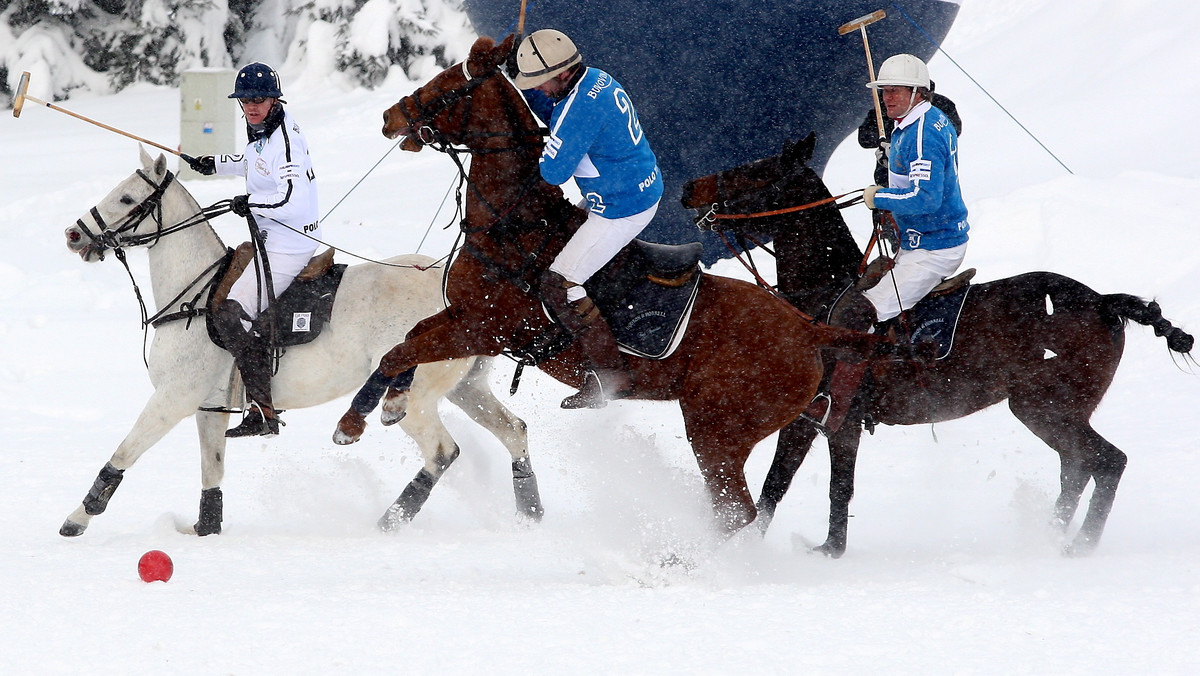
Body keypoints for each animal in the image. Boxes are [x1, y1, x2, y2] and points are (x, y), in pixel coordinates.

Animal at [59, 149, 540, 540]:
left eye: (126, 198)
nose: (73, 235)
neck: (193, 295)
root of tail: (468, 299)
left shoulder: (174, 397)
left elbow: (124, 453)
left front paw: (77, 519)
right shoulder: (209, 405)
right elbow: (212, 469)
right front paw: (205, 529)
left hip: (416, 395)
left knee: (442, 451)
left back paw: (389, 521)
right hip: (466, 386)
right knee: (513, 430)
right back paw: (530, 514)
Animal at [681, 132, 1195, 554]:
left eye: (751, 171)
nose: (689, 188)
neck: (822, 294)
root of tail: (1104, 301)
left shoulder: (834, 416)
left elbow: (818, 487)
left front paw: (812, 552)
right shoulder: (817, 420)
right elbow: (788, 487)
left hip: (1044, 404)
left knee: (1107, 462)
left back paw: (1077, 547)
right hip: (1055, 409)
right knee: (1077, 467)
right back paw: (1049, 537)